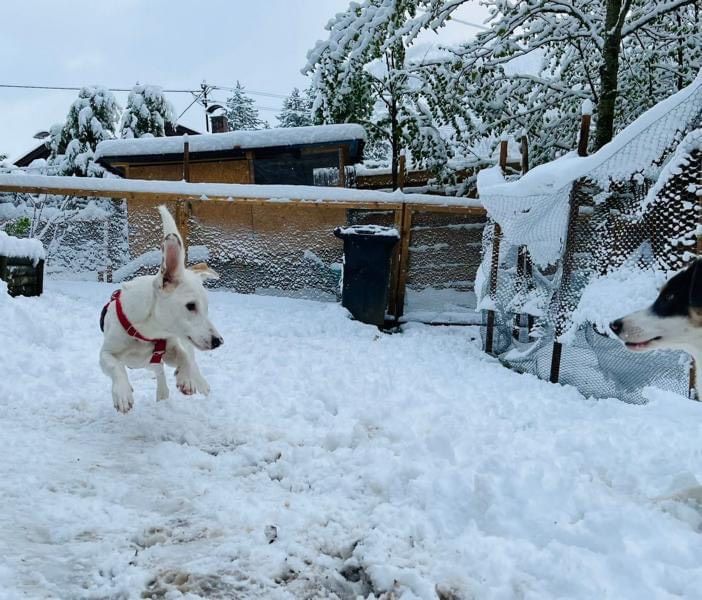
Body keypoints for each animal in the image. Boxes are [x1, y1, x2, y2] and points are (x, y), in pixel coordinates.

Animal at [99, 206, 224, 412]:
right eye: (191, 306)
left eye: (206, 307)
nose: (218, 341)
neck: (148, 332)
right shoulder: (106, 353)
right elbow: (114, 366)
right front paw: (123, 393)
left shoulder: (171, 349)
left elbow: (184, 357)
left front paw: (186, 379)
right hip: (144, 363)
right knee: (157, 370)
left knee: (185, 361)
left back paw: (196, 382)